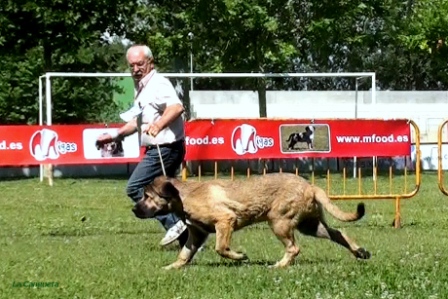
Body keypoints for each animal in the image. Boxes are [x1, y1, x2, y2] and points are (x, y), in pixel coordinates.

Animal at [133, 172, 372, 270]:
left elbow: (221, 248)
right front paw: (171, 267)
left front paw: (240, 257)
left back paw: (279, 265)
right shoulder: (197, 233)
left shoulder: (225, 220)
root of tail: (310, 186)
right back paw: (360, 252)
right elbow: (184, 254)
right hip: (310, 225)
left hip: (279, 222)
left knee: (294, 248)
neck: (184, 196)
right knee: (339, 233)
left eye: (147, 196)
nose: (134, 209)